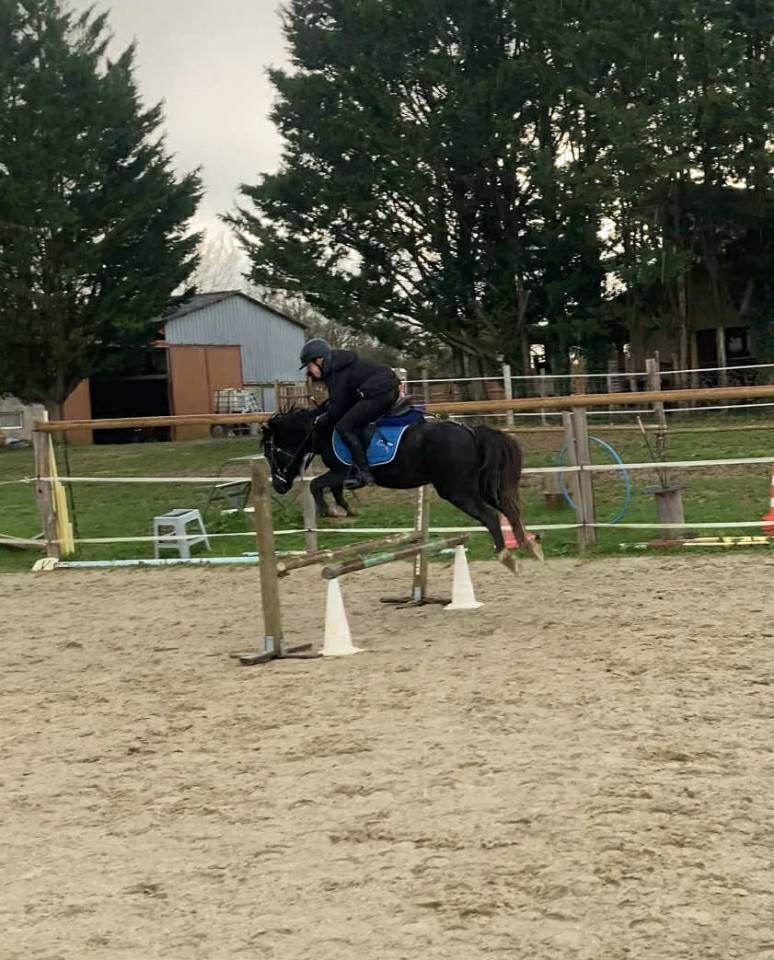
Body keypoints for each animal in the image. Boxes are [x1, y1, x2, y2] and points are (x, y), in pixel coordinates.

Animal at [260, 407, 542, 572]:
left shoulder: (341, 470)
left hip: (456, 490)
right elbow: (335, 488)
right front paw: (346, 509)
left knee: (491, 516)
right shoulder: (342, 474)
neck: (323, 430)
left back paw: (507, 556)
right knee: (509, 510)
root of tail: (472, 431)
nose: (278, 485)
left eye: (270, 451)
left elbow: (316, 484)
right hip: (478, 487)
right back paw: (529, 546)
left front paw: (331, 511)